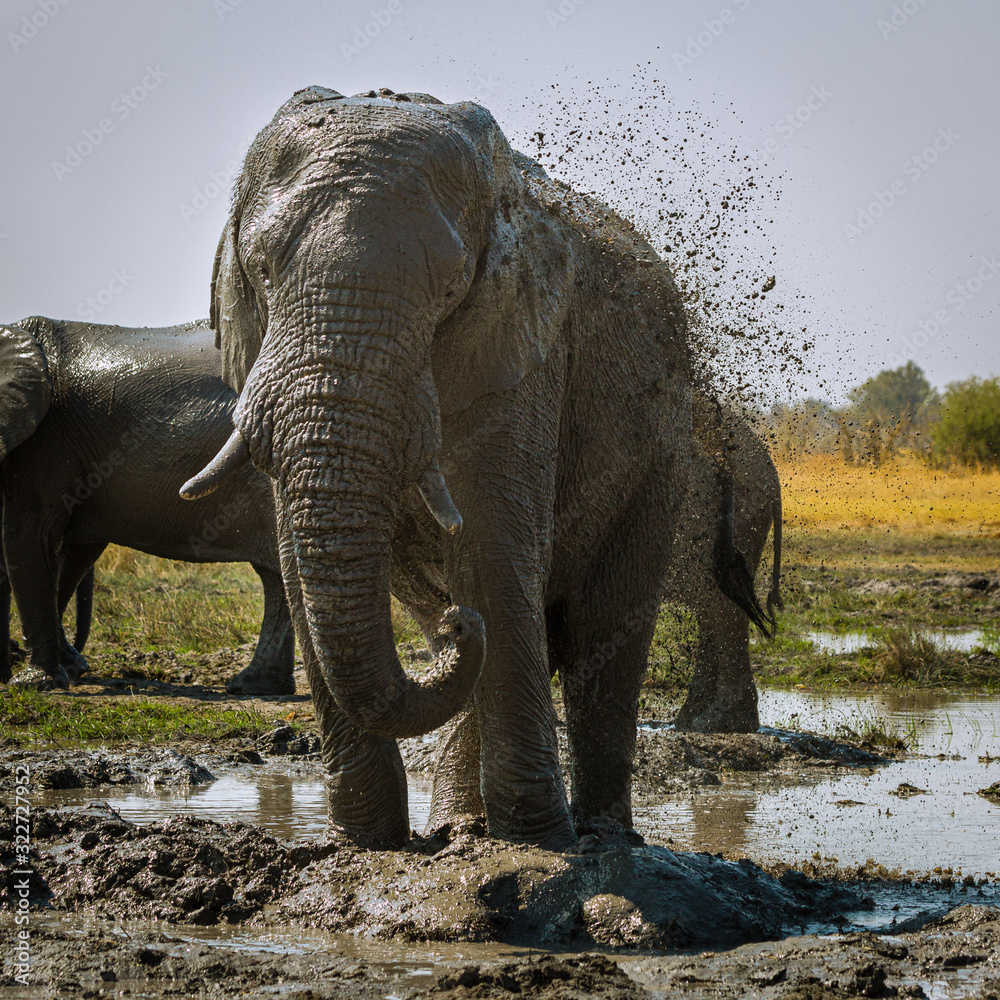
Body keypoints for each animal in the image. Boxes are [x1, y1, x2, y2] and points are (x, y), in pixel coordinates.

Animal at [0, 315, 294, 693]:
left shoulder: (46, 441)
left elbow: (30, 536)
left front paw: (34, 684)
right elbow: (69, 551)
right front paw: (66, 669)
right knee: (278, 577)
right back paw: (255, 686)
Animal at [182, 86, 758, 850]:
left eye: (451, 286)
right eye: (265, 271)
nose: (463, 625)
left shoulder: (523, 345)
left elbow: (493, 545)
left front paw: (541, 840)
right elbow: (298, 562)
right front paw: (367, 842)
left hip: (664, 451)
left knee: (605, 628)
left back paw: (604, 835)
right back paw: (459, 818)